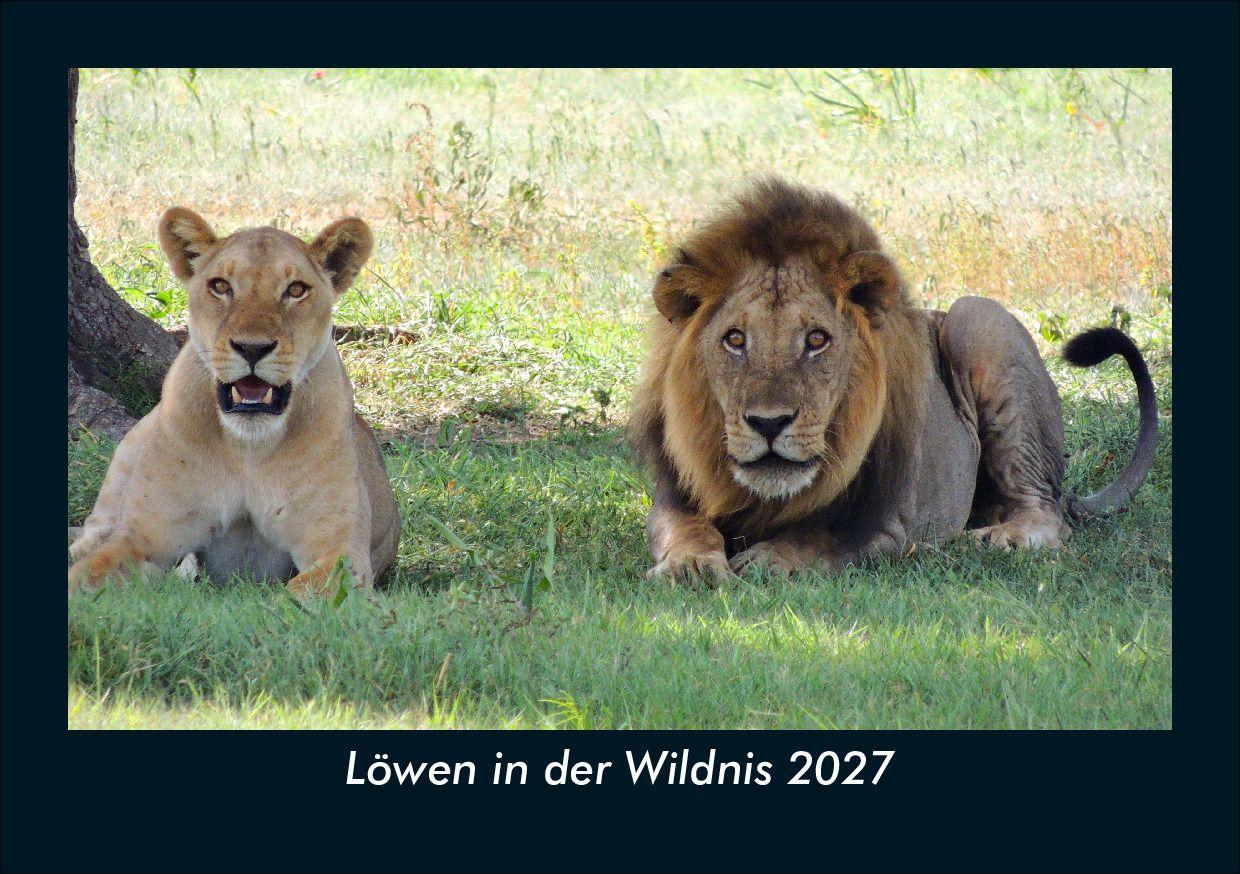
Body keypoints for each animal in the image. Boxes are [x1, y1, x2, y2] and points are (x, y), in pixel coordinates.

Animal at [68, 208, 401, 597]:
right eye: (221, 286)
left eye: (296, 289)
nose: (252, 348)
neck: (248, 450)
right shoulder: (141, 538)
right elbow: (86, 576)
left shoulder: (340, 550)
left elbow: (301, 594)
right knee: (90, 536)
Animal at [629, 178, 1158, 581]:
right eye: (735, 340)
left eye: (817, 339)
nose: (768, 423)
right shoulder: (673, 497)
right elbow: (686, 529)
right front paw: (691, 565)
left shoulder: (889, 523)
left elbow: (818, 538)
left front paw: (769, 559)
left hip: (977, 319)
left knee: (1046, 512)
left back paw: (997, 538)